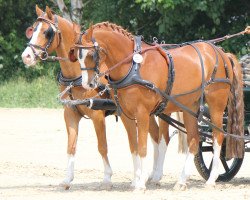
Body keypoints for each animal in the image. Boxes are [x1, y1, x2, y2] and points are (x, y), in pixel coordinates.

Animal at [21, 5, 166, 189]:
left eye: (47, 32)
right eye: (32, 29)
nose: (26, 56)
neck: (76, 75)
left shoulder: (97, 115)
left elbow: (102, 146)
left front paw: (107, 177)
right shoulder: (70, 113)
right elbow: (71, 146)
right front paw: (67, 179)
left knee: (160, 138)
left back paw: (153, 174)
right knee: (154, 136)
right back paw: (148, 175)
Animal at [70, 21, 244, 189]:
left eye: (92, 54)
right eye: (77, 56)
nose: (88, 84)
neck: (133, 67)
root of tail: (222, 53)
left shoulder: (142, 114)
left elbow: (142, 147)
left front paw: (141, 183)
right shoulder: (126, 115)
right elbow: (134, 147)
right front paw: (137, 179)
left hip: (216, 106)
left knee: (217, 138)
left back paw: (211, 180)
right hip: (190, 107)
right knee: (194, 140)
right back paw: (181, 181)